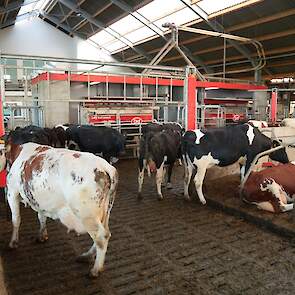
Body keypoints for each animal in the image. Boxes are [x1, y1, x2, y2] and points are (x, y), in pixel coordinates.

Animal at [1, 133, 119, 278]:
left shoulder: (12, 192)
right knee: (105, 233)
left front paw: (13, 243)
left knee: (101, 237)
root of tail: (105, 167)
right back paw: (86, 256)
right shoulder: (40, 199)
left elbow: (16, 219)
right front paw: (42, 235)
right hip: (105, 211)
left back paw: (95, 269)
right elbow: (41, 217)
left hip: (87, 215)